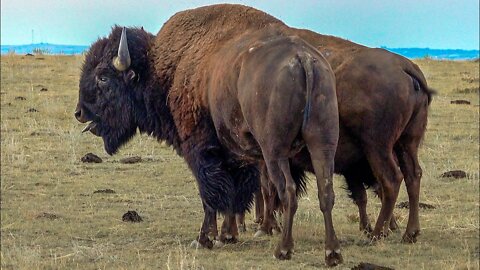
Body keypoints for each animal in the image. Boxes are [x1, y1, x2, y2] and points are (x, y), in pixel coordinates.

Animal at [75, 3, 342, 266]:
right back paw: (332, 253)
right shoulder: (237, 156)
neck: (162, 67)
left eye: (103, 76)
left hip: (274, 151)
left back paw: (284, 250)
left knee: (288, 191)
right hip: (323, 144)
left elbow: (211, 194)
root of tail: (303, 58)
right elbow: (234, 194)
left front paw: (204, 238)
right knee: (326, 191)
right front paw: (227, 235)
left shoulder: (200, 151)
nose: (79, 112)